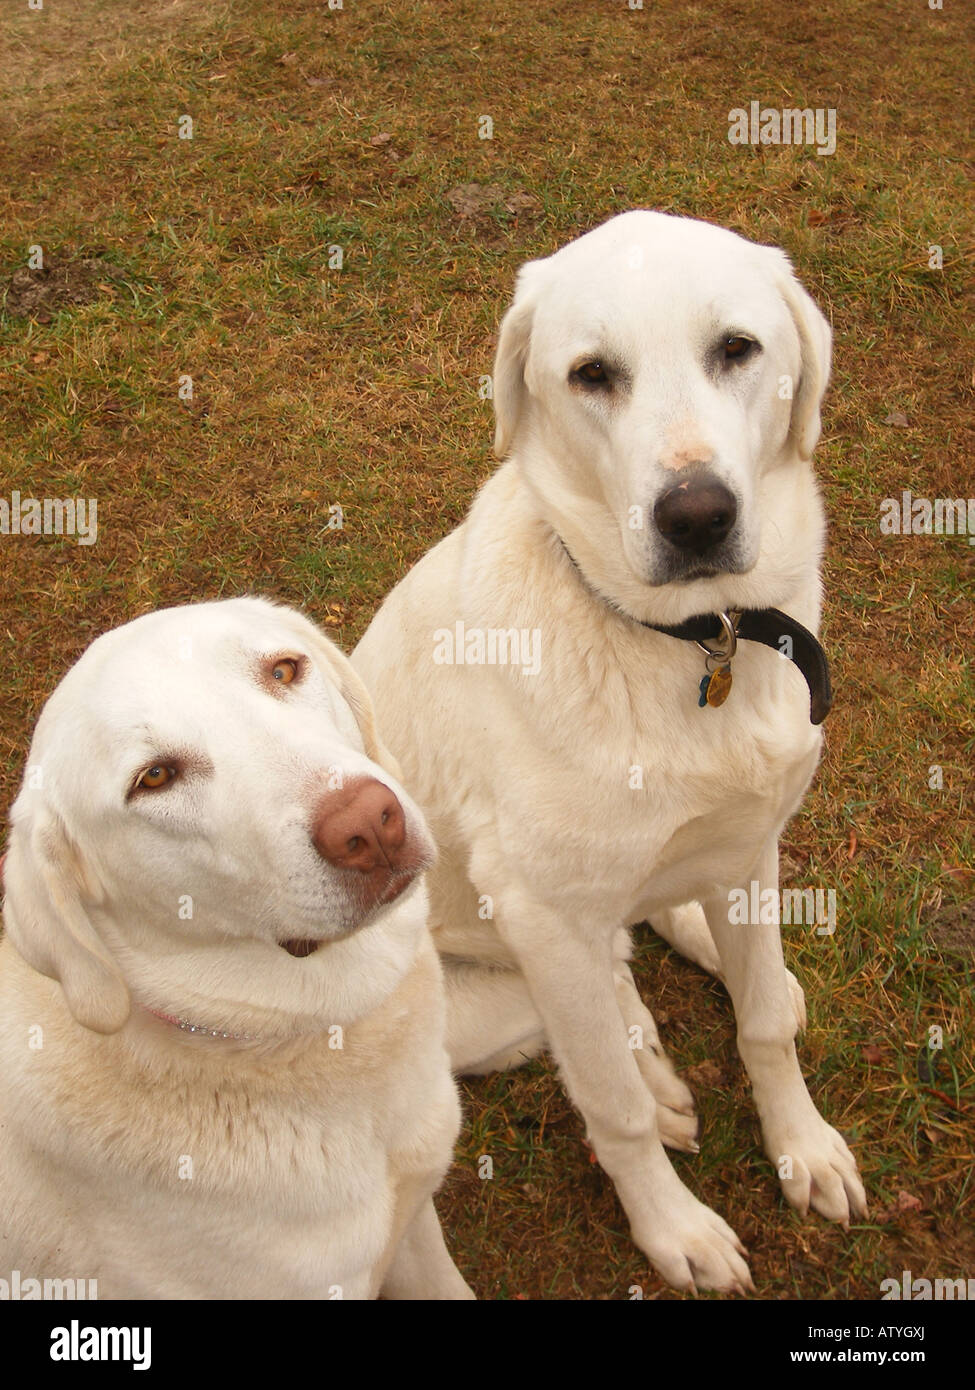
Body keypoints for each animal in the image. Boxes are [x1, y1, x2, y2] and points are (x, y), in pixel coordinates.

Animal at [356, 208, 867, 1289]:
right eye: (592, 373)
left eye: (736, 349)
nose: (698, 516)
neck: (696, 642)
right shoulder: (546, 917)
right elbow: (612, 1106)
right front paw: (672, 1225)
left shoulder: (749, 834)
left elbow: (762, 1026)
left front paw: (801, 1147)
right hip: (483, 998)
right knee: (601, 995)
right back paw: (654, 1067)